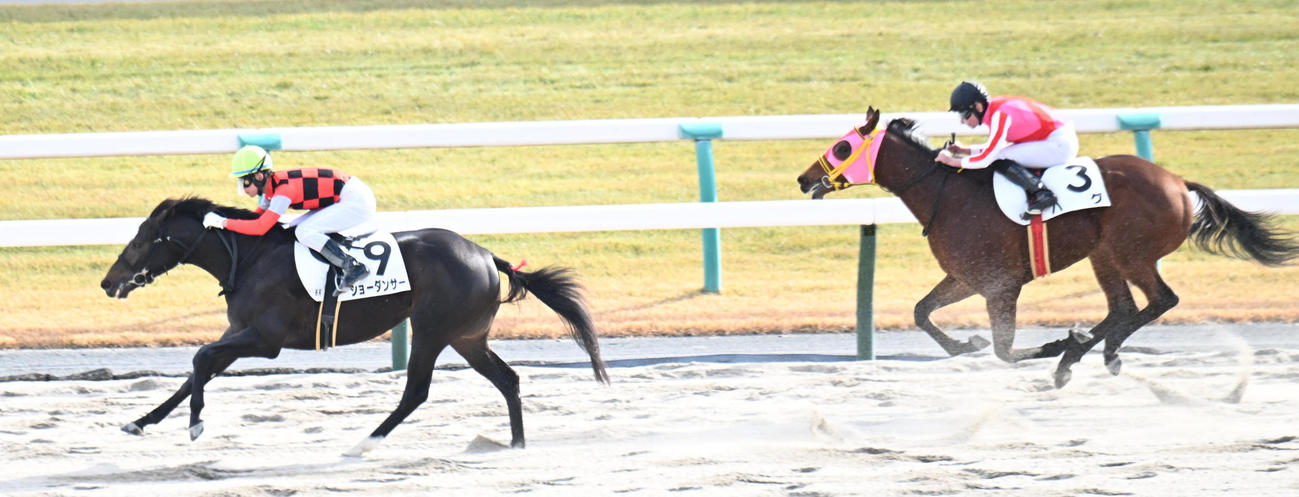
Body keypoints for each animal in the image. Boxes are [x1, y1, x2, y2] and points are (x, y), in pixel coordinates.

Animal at [100, 197, 609, 455]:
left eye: (141, 240)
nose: (108, 282)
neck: (251, 257)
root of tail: (486, 254)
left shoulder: (265, 340)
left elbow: (200, 359)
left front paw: (195, 425)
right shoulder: (238, 334)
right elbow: (195, 372)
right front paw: (140, 422)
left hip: (432, 331)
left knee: (416, 392)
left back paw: (366, 441)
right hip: (468, 338)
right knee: (508, 380)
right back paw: (516, 445)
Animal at [796, 107, 1299, 388]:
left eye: (842, 148)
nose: (804, 179)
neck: (948, 194)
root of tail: (1178, 182)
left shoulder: (1001, 285)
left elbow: (1003, 349)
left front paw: (1054, 342)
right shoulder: (966, 277)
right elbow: (922, 313)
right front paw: (965, 343)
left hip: (1130, 253)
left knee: (1161, 300)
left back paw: (1091, 350)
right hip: (1103, 254)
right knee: (1122, 307)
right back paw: (1085, 353)